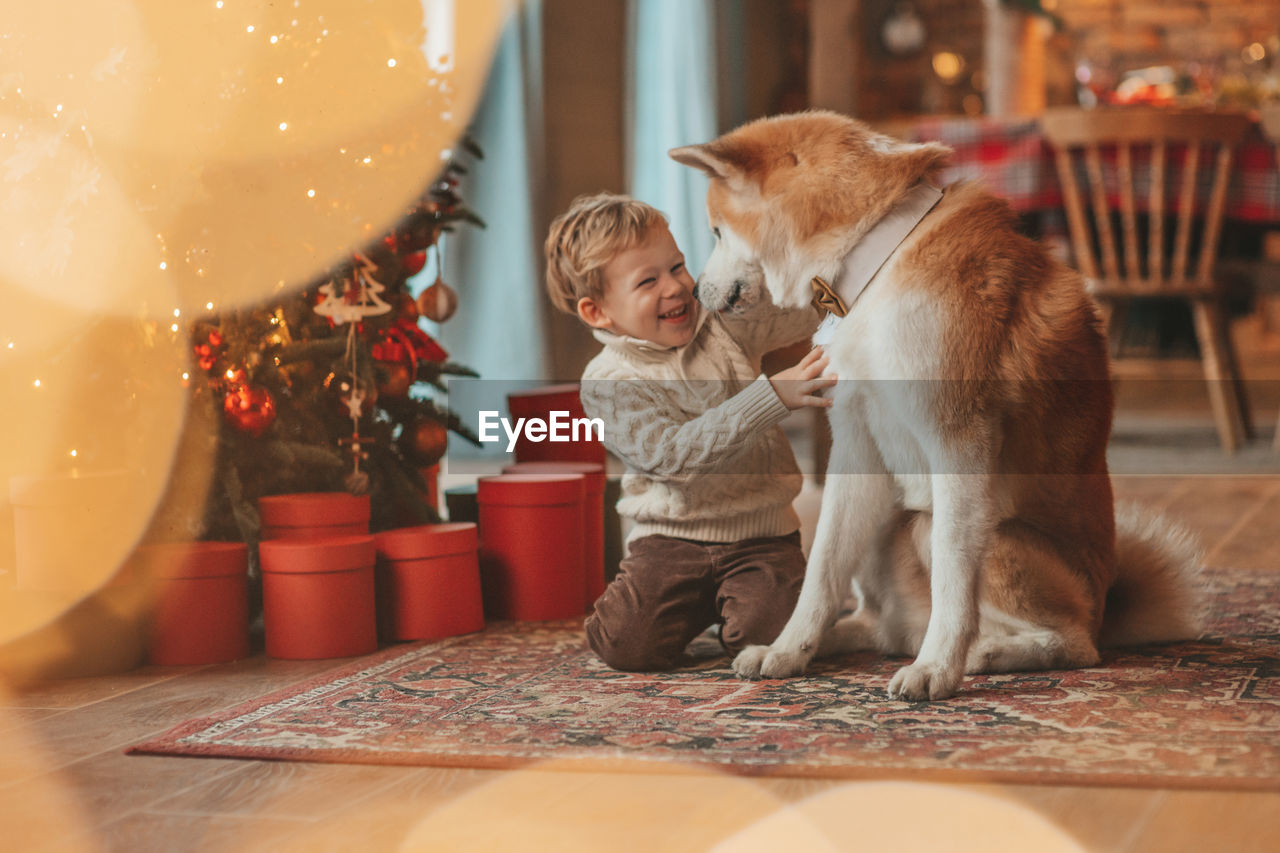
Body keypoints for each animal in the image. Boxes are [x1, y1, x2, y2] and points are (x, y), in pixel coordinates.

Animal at [675, 111, 1203, 696]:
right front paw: (789, 650)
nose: (695, 292)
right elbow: (821, 570)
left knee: (1072, 644)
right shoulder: (855, 446)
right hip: (887, 523)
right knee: (877, 622)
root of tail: (1106, 607)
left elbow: (953, 579)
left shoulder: (958, 444)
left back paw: (983, 653)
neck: (876, 262)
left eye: (716, 230)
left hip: (954, 534)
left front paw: (937, 669)